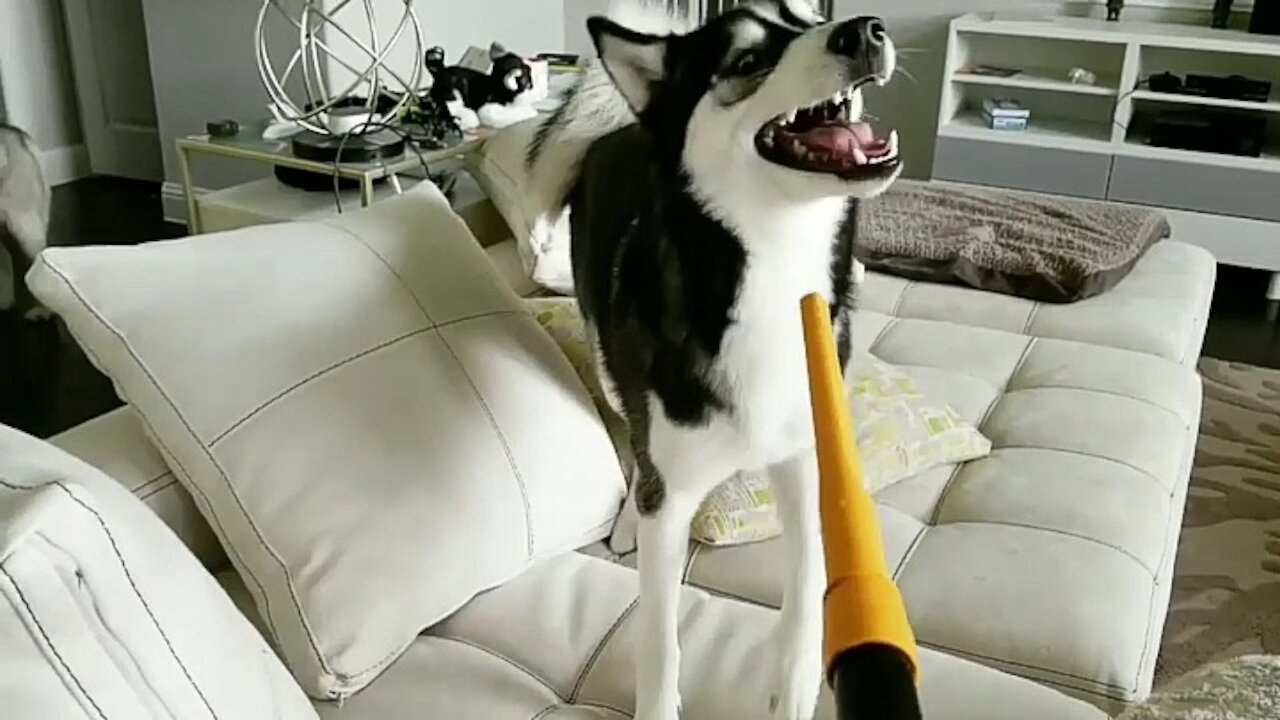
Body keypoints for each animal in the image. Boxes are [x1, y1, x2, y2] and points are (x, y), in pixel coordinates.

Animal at [524, 4, 906, 717]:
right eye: (746, 61)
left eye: (809, 16)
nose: (865, 29)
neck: (774, 270)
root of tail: (619, 126)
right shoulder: (672, 497)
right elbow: (658, 636)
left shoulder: (810, 465)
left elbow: (807, 602)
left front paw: (793, 694)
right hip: (610, 363)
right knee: (636, 441)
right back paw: (630, 515)